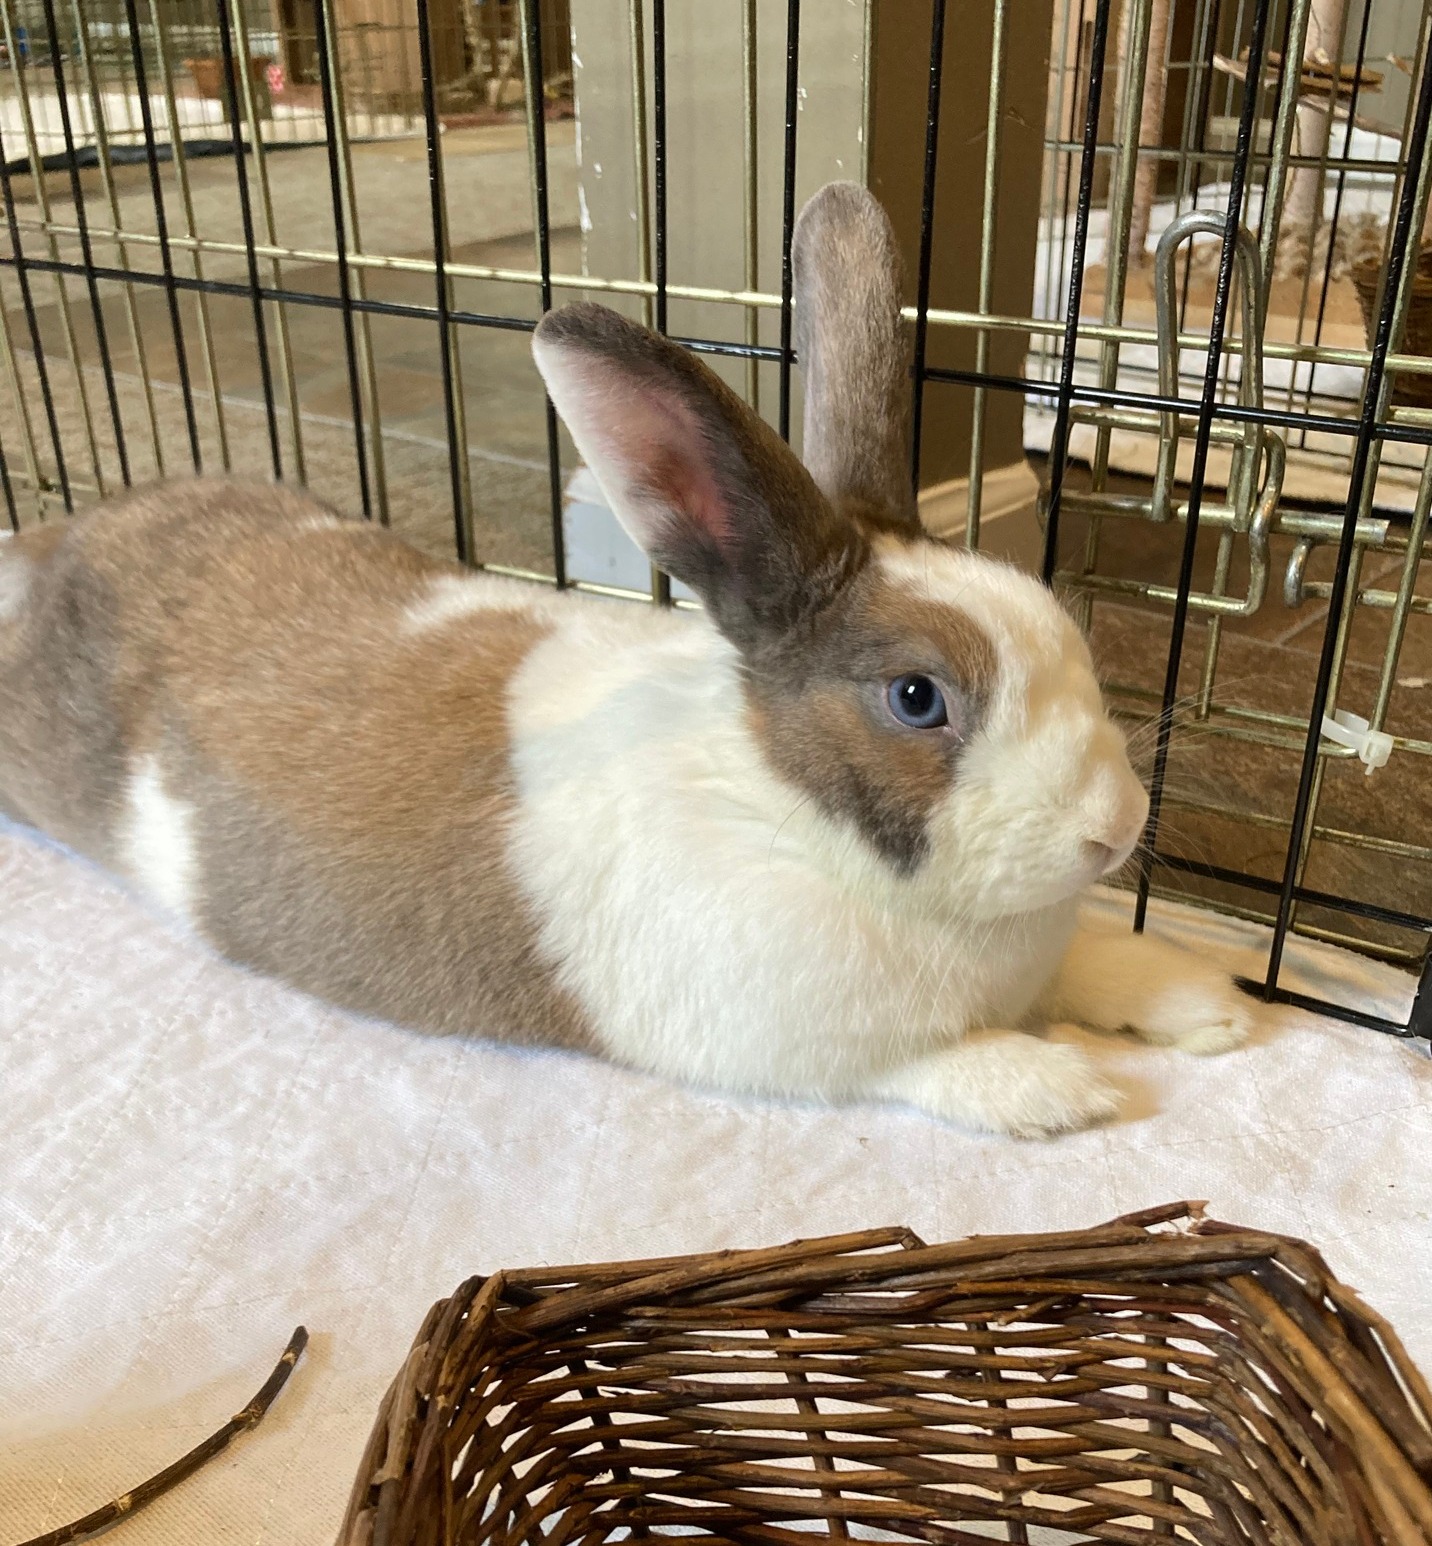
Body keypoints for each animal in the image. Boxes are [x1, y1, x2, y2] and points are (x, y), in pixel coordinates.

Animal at [0, 181, 1253, 1138]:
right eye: (915, 697)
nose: (1115, 829)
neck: (786, 805)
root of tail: (49, 544)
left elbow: (1094, 957)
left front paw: (1209, 1005)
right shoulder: (799, 1043)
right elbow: (921, 1063)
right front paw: (1061, 1087)